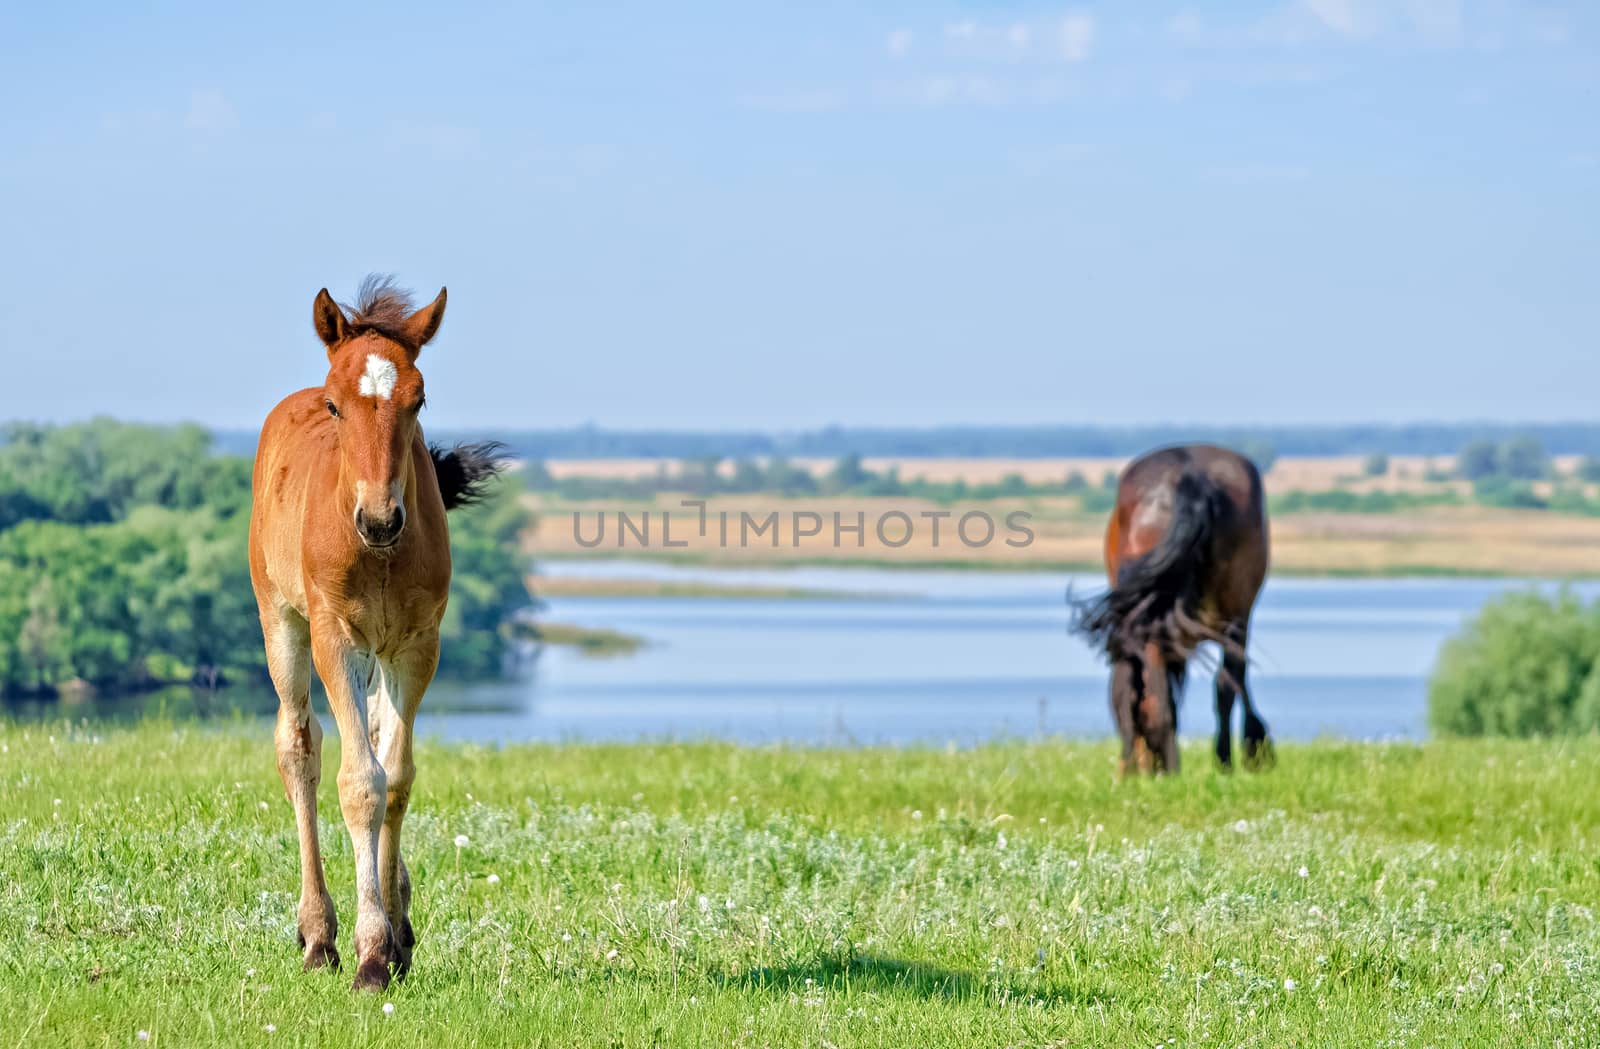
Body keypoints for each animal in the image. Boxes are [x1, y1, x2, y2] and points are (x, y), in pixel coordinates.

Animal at [246, 278, 499, 991]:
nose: (381, 518)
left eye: (419, 400)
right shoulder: (338, 640)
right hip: (282, 621)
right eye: (337, 405)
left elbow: (398, 777)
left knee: (380, 743)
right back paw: (317, 936)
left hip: (380, 659)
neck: (379, 555)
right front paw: (368, 953)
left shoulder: (416, 646)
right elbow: (361, 783)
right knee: (299, 746)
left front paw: (395, 938)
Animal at [1075, 447, 1273, 773]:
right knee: (1222, 686)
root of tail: (1189, 477)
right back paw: (1217, 763)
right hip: (1233, 614)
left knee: (1167, 699)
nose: (1131, 769)